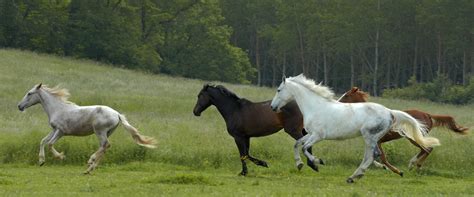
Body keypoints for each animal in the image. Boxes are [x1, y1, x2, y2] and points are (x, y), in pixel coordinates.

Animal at [17, 84, 156, 173]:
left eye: (29, 93)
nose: (19, 106)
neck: (57, 108)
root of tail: (117, 114)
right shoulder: (54, 130)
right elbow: (43, 141)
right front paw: (41, 161)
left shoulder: (61, 131)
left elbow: (50, 144)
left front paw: (61, 157)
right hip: (107, 132)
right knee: (104, 147)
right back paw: (89, 168)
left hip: (100, 131)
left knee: (105, 145)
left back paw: (90, 162)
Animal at [193, 84, 322, 175]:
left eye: (200, 95)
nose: (195, 112)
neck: (234, 110)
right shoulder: (246, 137)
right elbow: (247, 154)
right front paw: (263, 164)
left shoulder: (238, 137)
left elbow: (243, 155)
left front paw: (245, 172)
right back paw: (313, 164)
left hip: (293, 130)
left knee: (305, 143)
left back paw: (308, 164)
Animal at [270, 75, 440, 183]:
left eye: (279, 90)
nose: (272, 107)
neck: (315, 107)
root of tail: (390, 112)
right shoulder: (310, 134)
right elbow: (297, 144)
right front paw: (299, 164)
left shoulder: (318, 135)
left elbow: (305, 148)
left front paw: (318, 162)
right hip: (371, 138)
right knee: (373, 156)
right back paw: (356, 176)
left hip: (369, 136)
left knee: (372, 156)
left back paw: (354, 177)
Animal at [338, 86, 468, 175]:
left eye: (346, 95)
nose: (337, 102)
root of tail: (428, 114)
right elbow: (375, 157)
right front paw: (383, 167)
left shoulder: (378, 141)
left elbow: (382, 157)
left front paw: (397, 171)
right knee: (425, 149)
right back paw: (413, 164)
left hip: (413, 137)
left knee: (427, 149)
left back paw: (414, 164)